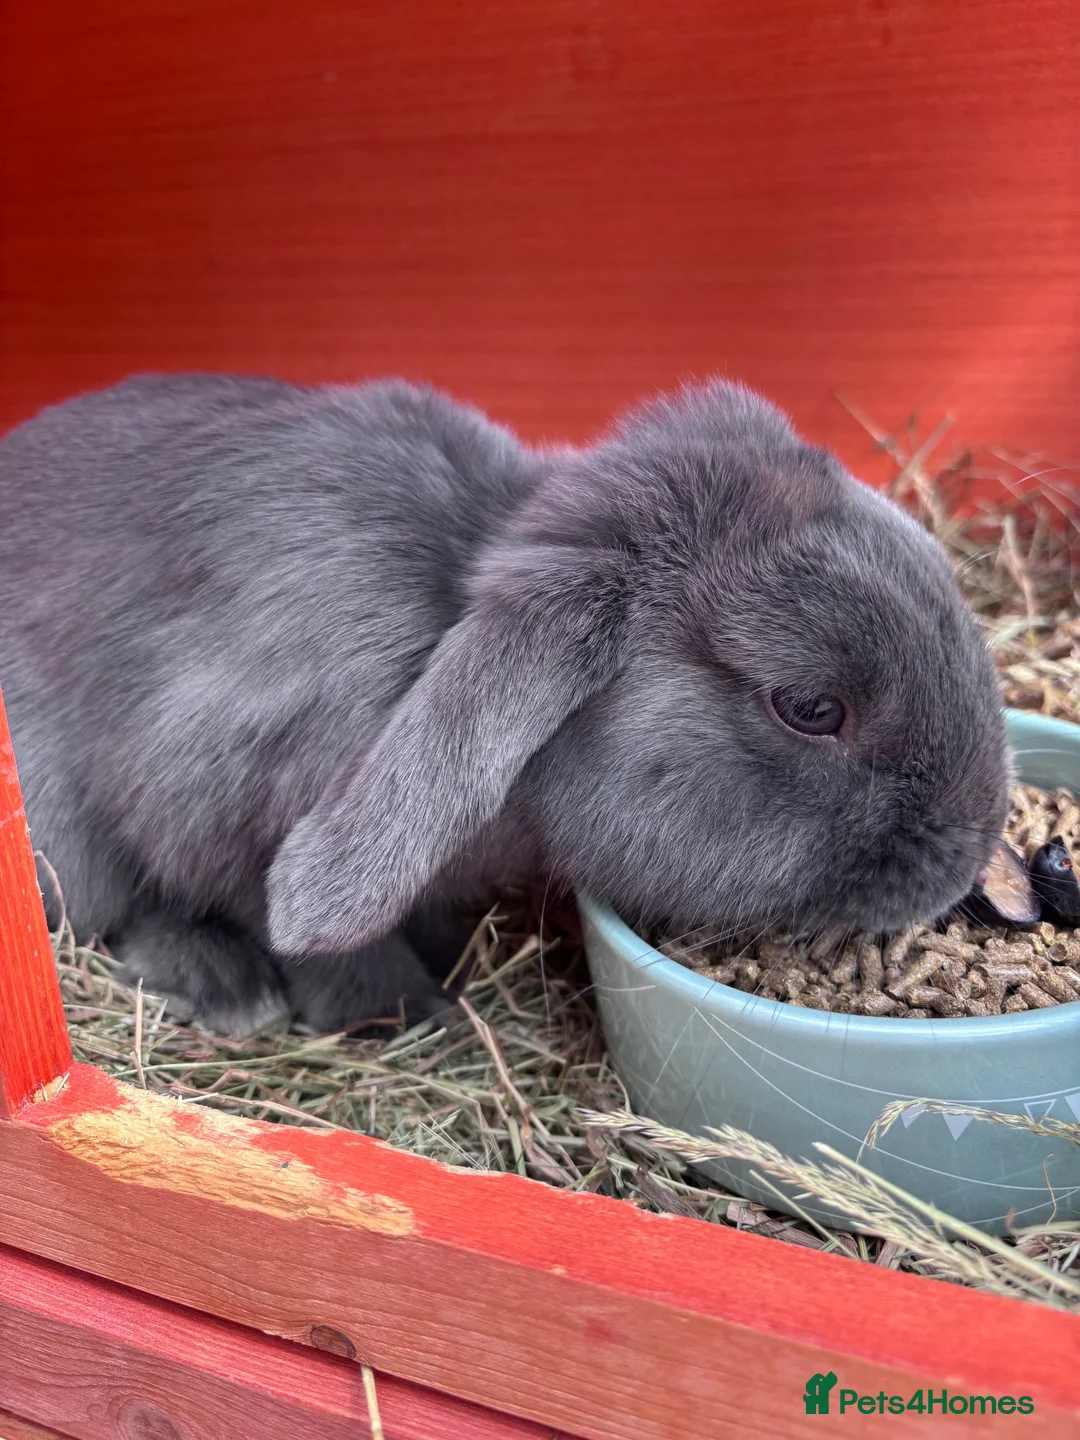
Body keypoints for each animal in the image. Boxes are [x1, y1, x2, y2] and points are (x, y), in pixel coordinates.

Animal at [0, 373, 1009, 1035]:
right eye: (809, 708)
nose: (970, 856)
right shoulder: (224, 801)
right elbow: (305, 934)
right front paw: (406, 1014)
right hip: (57, 831)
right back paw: (225, 991)